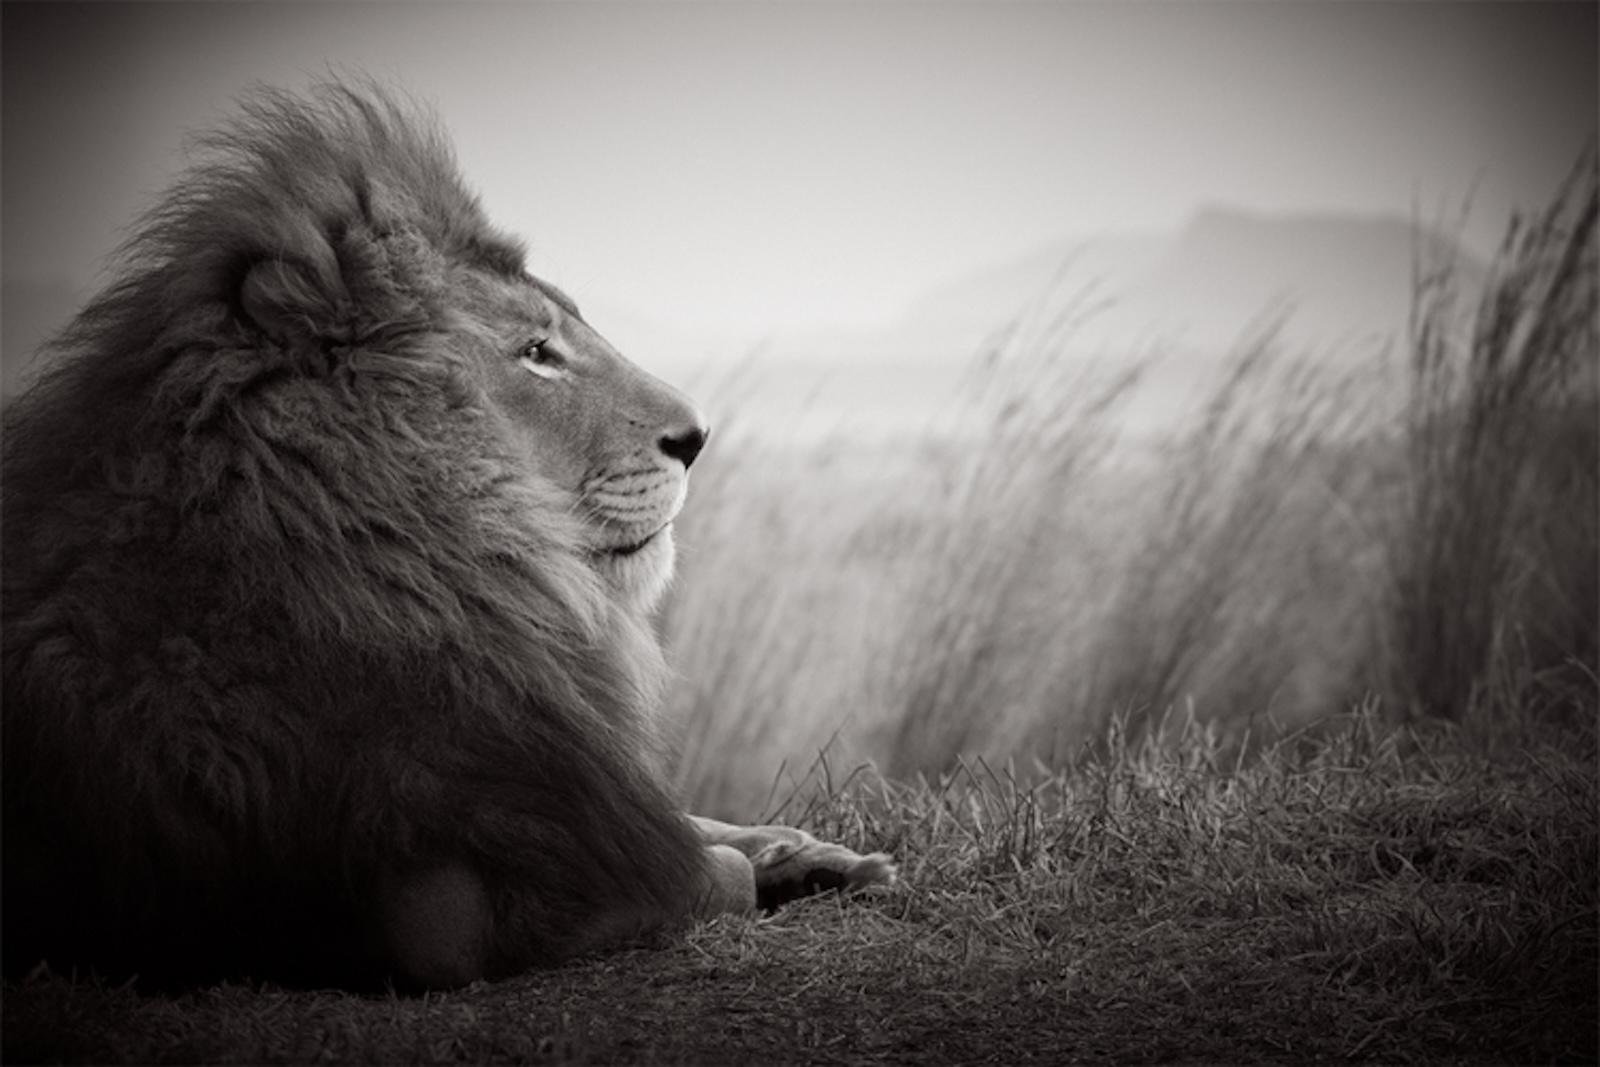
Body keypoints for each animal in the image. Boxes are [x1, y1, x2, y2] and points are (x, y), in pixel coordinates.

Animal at [1, 82, 894, 990]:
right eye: (536, 351)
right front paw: (770, 865)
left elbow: (693, 824)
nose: (699, 435)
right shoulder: (453, 911)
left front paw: (812, 853)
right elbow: (702, 872)